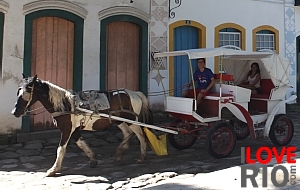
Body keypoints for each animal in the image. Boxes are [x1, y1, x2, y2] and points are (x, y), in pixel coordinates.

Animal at [11, 74, 152, 177]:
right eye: (17, 92)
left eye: (27, 92)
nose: (15, 112)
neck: (65, 104)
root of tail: (135, 93)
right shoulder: (74, 129)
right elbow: (80, 143)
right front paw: (93, 160)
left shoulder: (67, 129)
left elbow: (60, 148)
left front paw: (53, 169)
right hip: (119, 120)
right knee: (128, 133)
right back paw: (120, 153)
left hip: (131, 120)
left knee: (140, 135)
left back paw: (142, 157)